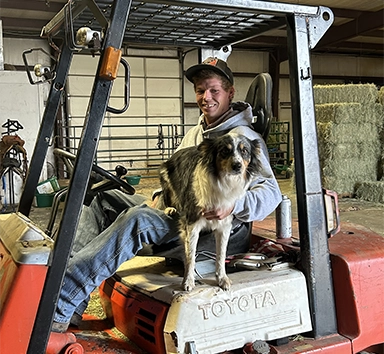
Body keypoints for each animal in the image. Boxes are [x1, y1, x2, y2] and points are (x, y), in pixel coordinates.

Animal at [158, 133, 262, 290]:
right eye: (225, 151)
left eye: (245, 151)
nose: (237, 166)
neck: (224, 181)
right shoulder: (192, 224)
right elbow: (190, 255)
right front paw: (188, 281)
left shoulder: (224, 226)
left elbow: (221, 255)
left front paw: (222, 278)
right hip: (165, 175)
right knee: (165, 198)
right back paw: (170, 209)